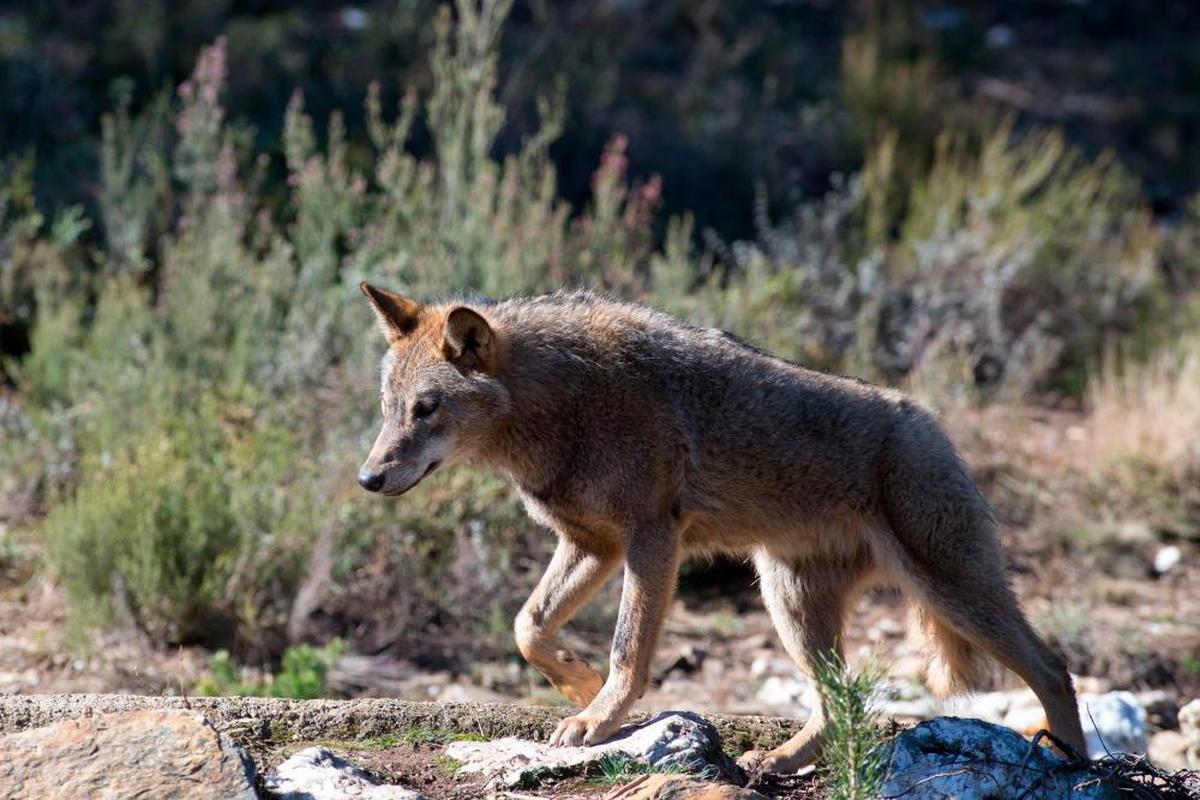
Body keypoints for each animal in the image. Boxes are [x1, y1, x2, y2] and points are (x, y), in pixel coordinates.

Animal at [352, 284, 1089, 772]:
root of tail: (931, 421)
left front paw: (598, 717)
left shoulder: (650, 539)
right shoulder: (593, 544)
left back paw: (1075, 764)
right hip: (791, 606)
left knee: (1053, 667)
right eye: (389, 409)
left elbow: (627, 650)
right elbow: (527, 626)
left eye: (427, 409)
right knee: (841, 702)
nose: (367, 477)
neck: (564, 404)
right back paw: (778, 763)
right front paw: (578, 687)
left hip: (952, 594)